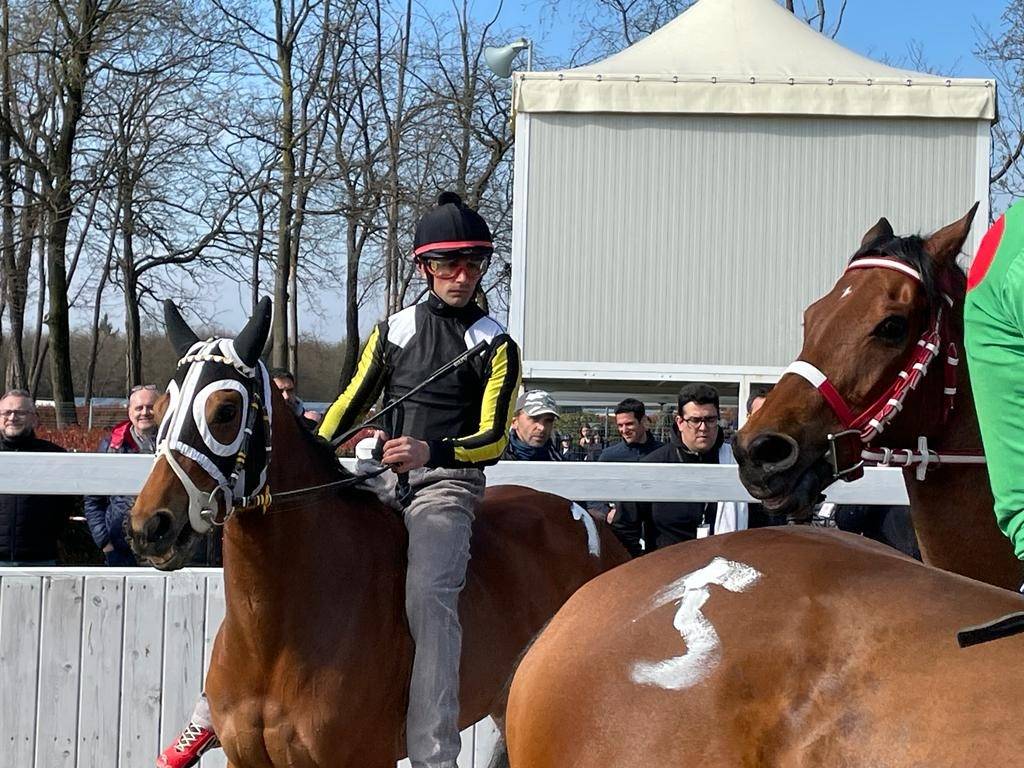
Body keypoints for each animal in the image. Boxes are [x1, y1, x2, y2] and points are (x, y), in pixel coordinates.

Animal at [123, 299, 626, 768]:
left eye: (225, 410)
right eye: (161, 409)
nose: (151, 525)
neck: (278, 635)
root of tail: (593, 526)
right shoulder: (246, 758)